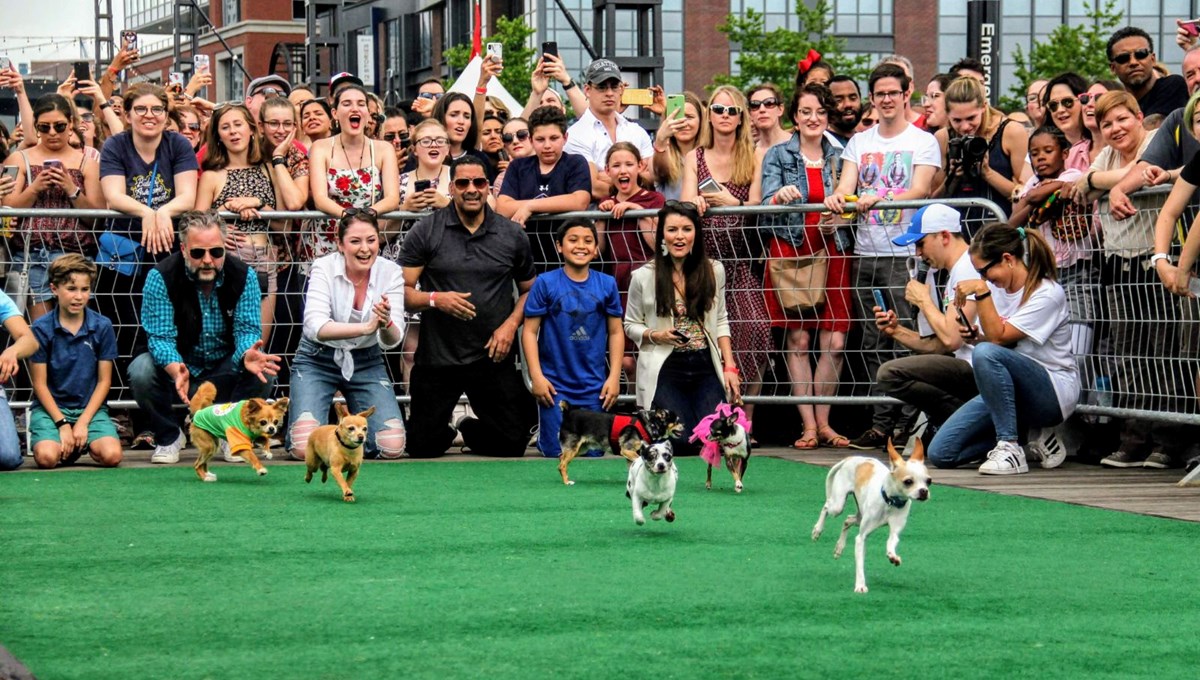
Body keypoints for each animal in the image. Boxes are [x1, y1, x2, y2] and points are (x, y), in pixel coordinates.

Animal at [811, 438, 931, 592]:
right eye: (908, 482)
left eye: (929, 481)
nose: (924, 491)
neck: (889, 502)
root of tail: (852, 458)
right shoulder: (861, 538)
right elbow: (860, 564)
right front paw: (860, 585)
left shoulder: (895, 531)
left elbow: (891, 541)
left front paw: (892, 556)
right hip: (837, 506)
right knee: (826, 507)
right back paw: (817, 530)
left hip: (859, 516)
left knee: (847, 520)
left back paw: (839, 547)